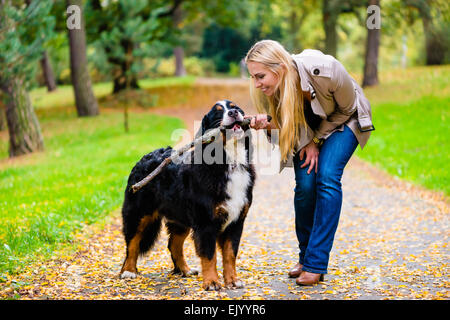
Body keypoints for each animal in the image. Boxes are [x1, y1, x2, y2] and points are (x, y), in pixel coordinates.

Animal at [119, 99, 255, 290]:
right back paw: (128, 271)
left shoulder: (236, 221)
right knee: (132, 243)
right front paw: (212, 282)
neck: (230, 162)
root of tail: (144, 157)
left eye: (235, 107)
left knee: (173, 245)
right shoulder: (206, 222)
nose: (234, 113)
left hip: (180, 218)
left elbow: (230, 254)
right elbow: (209, 255)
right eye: (218, 112)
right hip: (139, 214)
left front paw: (233, 281)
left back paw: (185, 270)